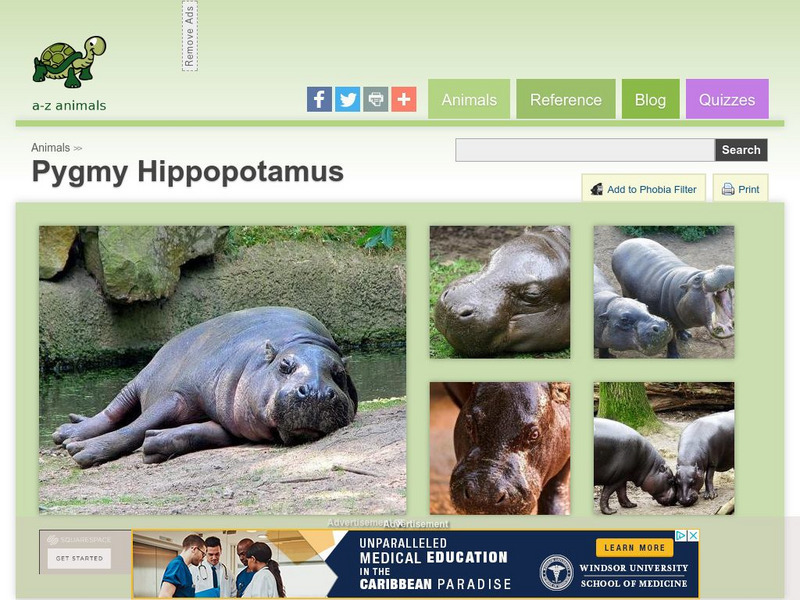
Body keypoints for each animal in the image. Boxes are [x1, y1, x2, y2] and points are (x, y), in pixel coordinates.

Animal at [52, 307, 358, 468]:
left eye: (340, 374)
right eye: (285, 365)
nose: (316, 392)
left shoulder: (233, 422)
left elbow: (201, 432)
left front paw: (156, 443)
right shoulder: (177, 397)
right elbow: (134, 427)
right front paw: (80, 451)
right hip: (137, 381)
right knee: (113, 412)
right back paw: (67, 433)